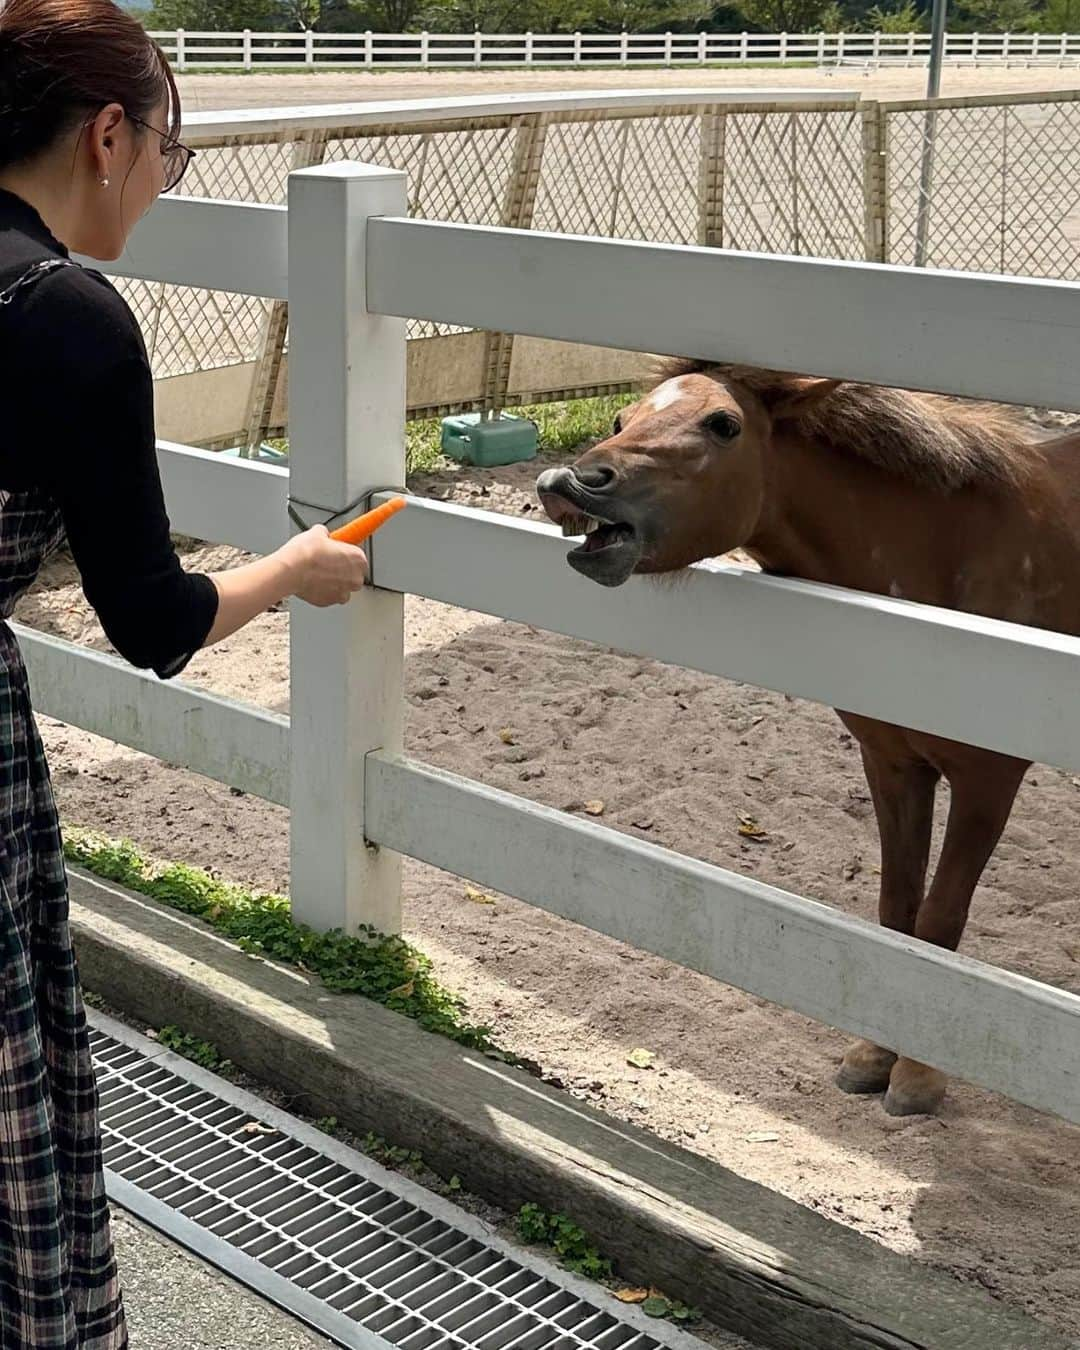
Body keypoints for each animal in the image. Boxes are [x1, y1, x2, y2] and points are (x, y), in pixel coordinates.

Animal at [540, 361, 1080, 1117]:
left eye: (724, 424)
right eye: (622, 418)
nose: (569, 482)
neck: (961, 554)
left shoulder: (987, 781)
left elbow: (940, 922)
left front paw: (918, 1078)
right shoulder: (893, 764)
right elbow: (896, 913)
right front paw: (872, 1057)